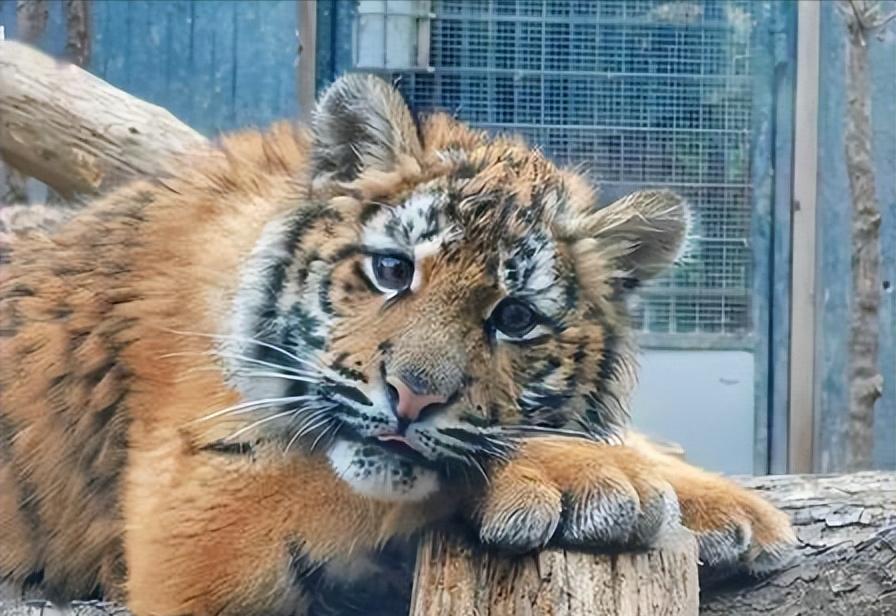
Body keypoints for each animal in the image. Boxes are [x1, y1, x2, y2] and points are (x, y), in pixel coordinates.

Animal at [0, 74, 796, 615]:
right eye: (392, 270)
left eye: (514, 318)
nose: (412, 396)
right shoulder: (191, 502)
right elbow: (388, 470)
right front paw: (598, 477)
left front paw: (731, 506)